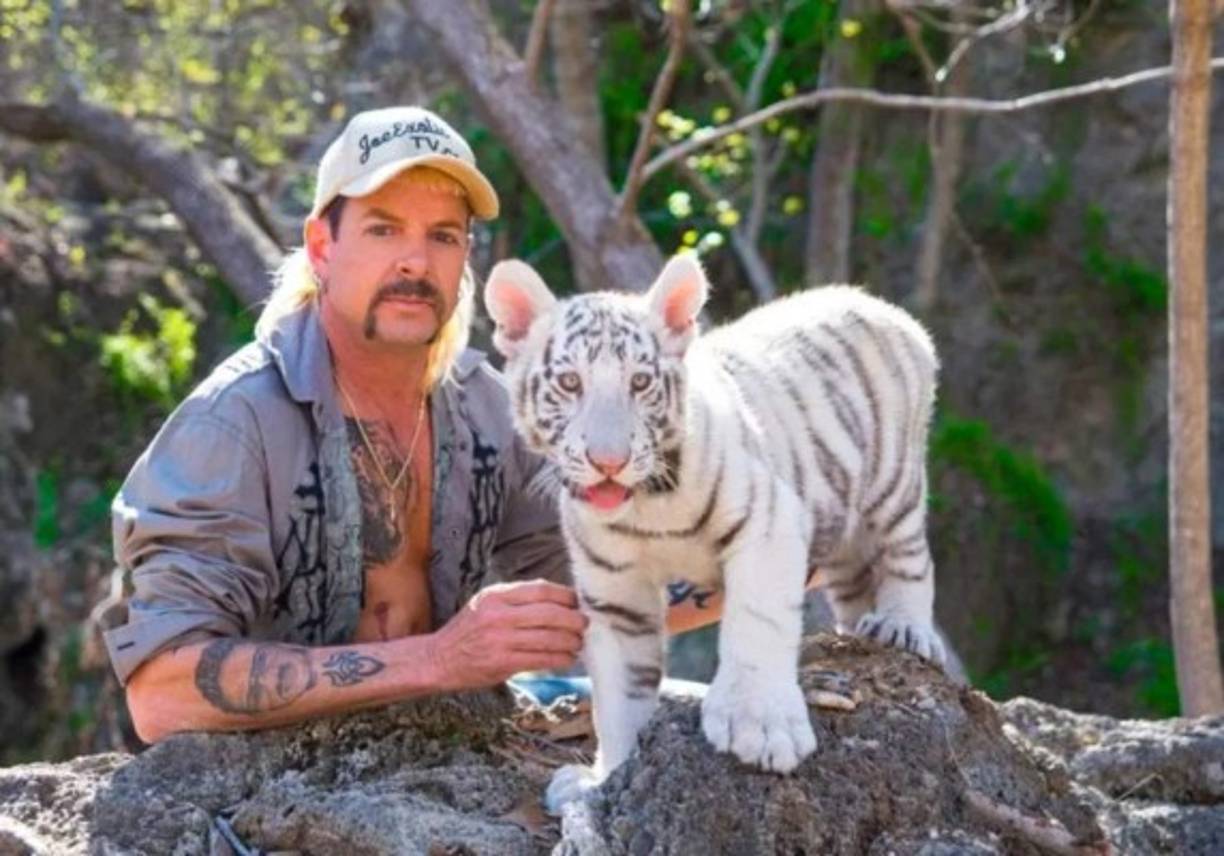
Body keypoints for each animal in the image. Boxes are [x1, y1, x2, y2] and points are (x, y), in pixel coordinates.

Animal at [483, 254, 945, 813]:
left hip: (894, 484)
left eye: (640, 382)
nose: (608, 461)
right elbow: (619, 693)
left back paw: (904, 627)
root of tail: (881, 305)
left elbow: (756, 623)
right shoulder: (616, 592)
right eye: (570, 383)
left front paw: (760, 727)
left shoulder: (768, 521)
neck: (647, 507)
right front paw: (609, 779)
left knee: (911, 556)